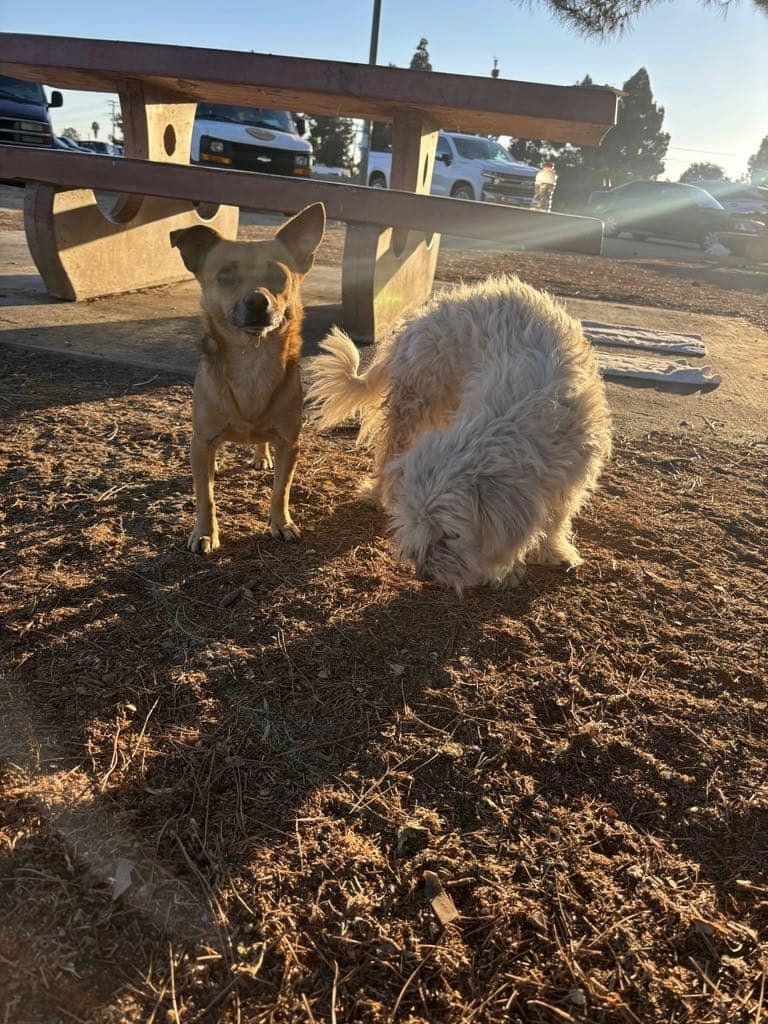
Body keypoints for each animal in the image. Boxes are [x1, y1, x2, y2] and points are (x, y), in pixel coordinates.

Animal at [169, 200, 325, 552]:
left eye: (278, 275)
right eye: (225, 275)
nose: (256, 300)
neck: (252, 360)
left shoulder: (290, 444)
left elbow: (281, 489)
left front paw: (281, 523)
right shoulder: (201, 442)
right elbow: (205, 496)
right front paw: (205, 533)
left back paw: (260, 455)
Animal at [307, 276, 614, 593]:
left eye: (451, 534)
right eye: (416, 523)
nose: (423, 573)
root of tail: (420, 318)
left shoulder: (573, 471)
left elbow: (557, 516)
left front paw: (553, 550)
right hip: (415, 403)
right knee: (390, 452)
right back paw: (378, 492)